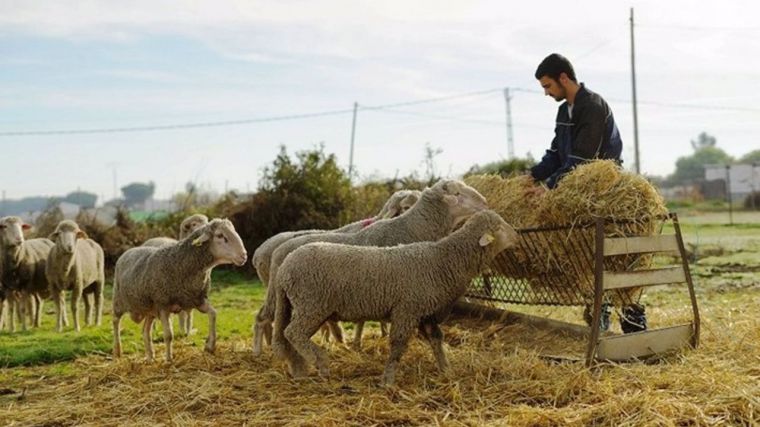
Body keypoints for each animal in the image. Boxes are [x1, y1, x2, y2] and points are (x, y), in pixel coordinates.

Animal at [112, 219, 246, 362]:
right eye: (220, 235)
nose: (244, 256)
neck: (182, 264)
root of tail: (128, 251)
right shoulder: (163, 304)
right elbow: (168, 335)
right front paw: (169, 359)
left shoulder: (197, 300)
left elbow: (213, 314)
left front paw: (210, 346)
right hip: (119, 300)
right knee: (115, 321)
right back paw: (118, 351)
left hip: (150, 309)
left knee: (145, 331)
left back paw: (150, 357)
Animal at [274, 209, 516, 386]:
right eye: (499, 227)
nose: (516, 233)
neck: (445, 260)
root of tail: (284, 268)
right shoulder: (407, 309)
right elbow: (398, 344)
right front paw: (388, 380)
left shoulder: (425, 313)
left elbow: (437, 340)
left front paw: (446, 369)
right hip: (311, 304)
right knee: (293, 333)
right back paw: (321, 363)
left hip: (303, 306)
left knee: (288, 336)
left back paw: (299, 369)